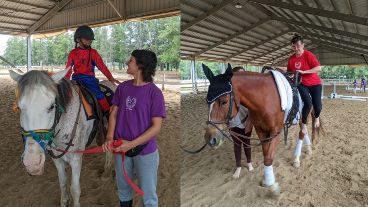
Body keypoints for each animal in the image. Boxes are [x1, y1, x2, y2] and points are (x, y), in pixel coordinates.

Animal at [10, 70, 113, 207]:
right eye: (19, 108)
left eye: (51, 106)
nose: (33, 162)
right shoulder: (57, 160)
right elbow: (63, 184)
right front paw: (64, 202)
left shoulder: (76, 159)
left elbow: (75, 189)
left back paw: (107, 172)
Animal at [203, 63, 324, 194]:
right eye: (207, 101)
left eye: (224, 102)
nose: (211, 139)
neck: (265, 99)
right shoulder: (261, 131)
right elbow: (265, 154)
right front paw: (267, 180)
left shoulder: (275, 132)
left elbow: (268, 158)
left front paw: (272, 186)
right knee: (305, 131)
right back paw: (308, 149)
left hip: (304, 116)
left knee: (302, 132)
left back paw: (296, 159)